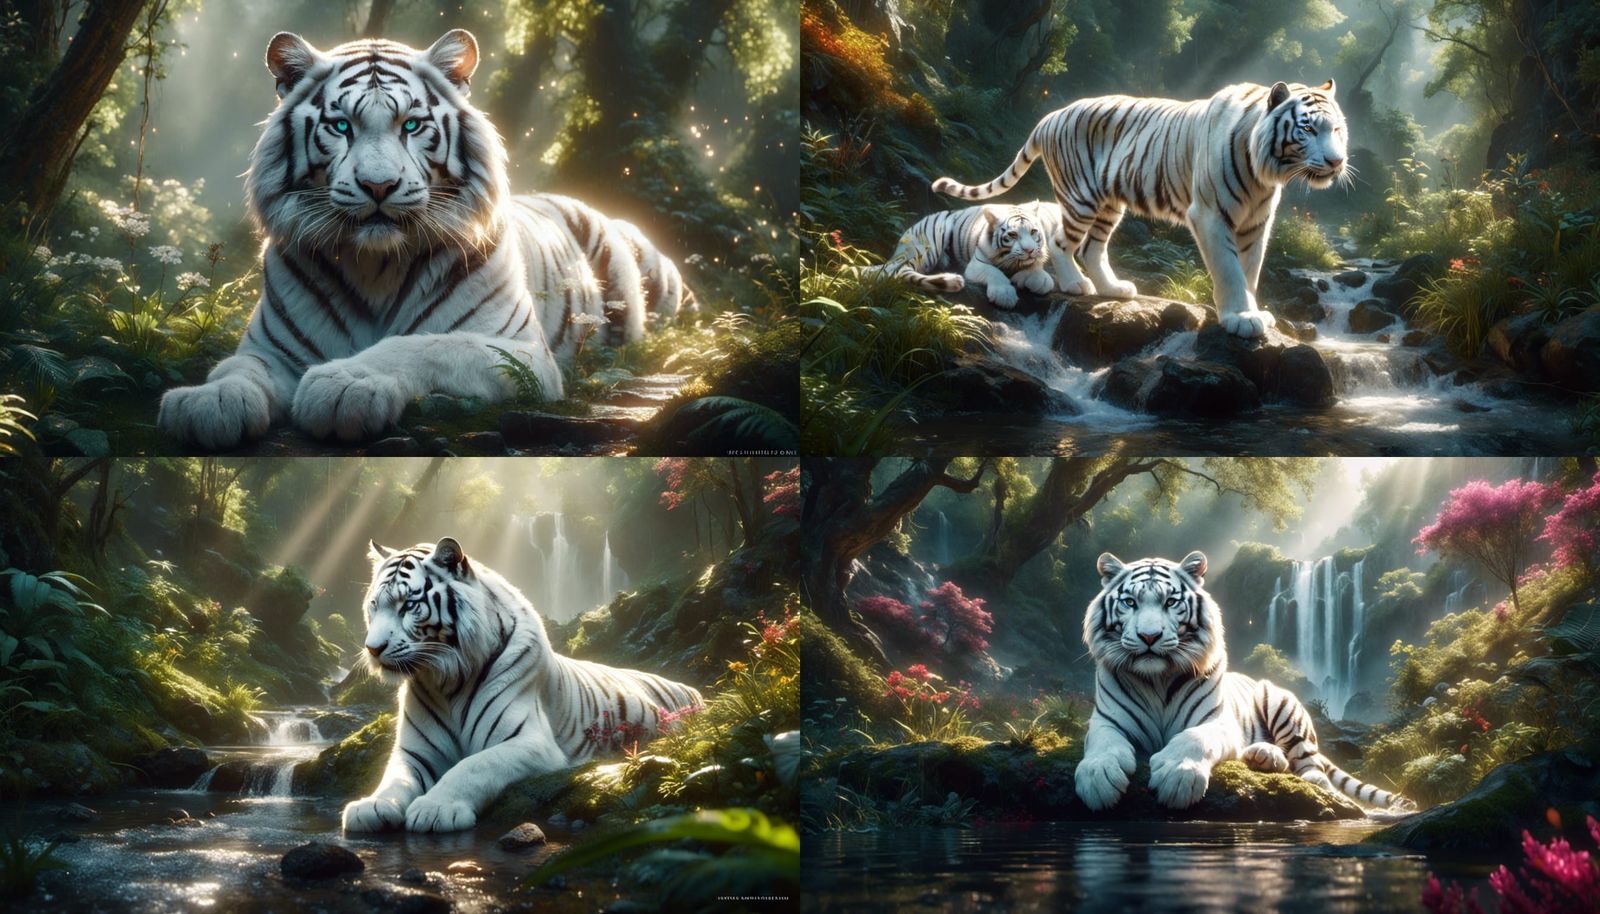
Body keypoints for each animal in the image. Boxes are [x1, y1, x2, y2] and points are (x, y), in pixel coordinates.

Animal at [157, 29, 695, 449]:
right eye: (341, 125)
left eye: (411, 125)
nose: (378, 186)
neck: (374, 265)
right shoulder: (272, 351)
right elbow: (237, 369)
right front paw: (204, 402)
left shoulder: (520, 353)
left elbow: (422, 346)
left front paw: (346, 382)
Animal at [344, 537, 703, 833]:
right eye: (374, 605)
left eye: (408, 605)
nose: (373, 649)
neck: (446, 680)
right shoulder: (414, 751)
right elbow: (394, 777)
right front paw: (372, 806)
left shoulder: (531, 742)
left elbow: (472, 765)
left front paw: (435, 808)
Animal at [858, 203, 1059, 308]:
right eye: (1013, 235)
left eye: (1033, 232)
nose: (1029, 250)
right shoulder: (976, 264)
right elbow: (994, 272)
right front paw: (1004, 295)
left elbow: (1041, 275)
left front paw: (1035, 279)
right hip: (928, 245)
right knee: (897, 270)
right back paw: (951, 280)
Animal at [932, 80, 1349, 339]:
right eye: (1308, 129)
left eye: (1338, 130)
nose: (1336, 161)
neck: (1266, 171)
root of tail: (1050, 116)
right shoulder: (1211, 214)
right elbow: (1230, 270)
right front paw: (1241, 318)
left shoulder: (1256, 223)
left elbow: (1250, 271)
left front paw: (1252, 312)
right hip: (1081, 197)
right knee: (1062, 241)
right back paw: (1074, 284)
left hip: (1109, 204)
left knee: (1092, 248)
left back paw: (1113, 289)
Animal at [1075, 551, 1411, 813]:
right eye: (1129, 602)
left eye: (1170, 601)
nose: (1149, 636)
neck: (1157, 677)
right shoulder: (1105, 720)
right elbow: (1104, 742)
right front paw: (1097, 777)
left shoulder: (1218, 722)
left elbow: (1193, 739)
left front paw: (1178, 776)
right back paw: (1264, 755)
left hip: (1282, 704)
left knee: (1312, 770)